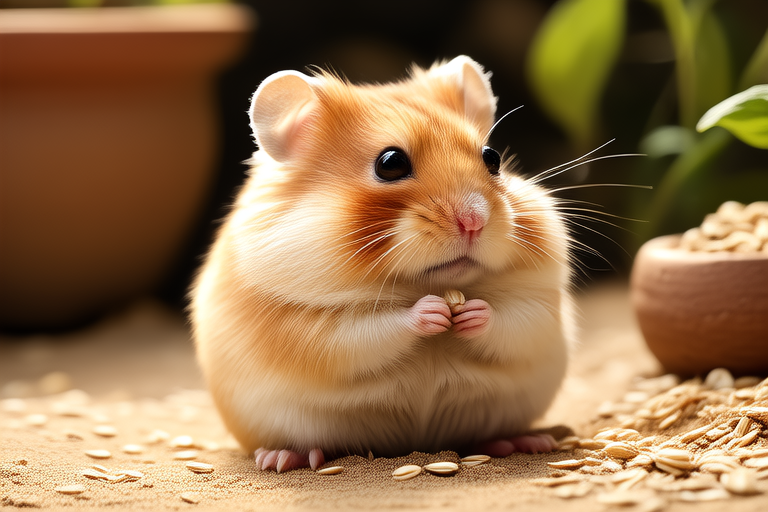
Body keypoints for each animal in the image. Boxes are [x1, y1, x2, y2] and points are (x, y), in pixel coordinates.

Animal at [190, 55, 576, 473]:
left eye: (492, 158)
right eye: (390, 163)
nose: (474, 221)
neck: (425, 284)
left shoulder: (540, 304)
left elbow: (514, 321)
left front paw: (470, 312)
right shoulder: (308, 328)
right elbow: (370, 331)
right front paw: (433, 312)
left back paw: (526, 441)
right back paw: (284, 458)